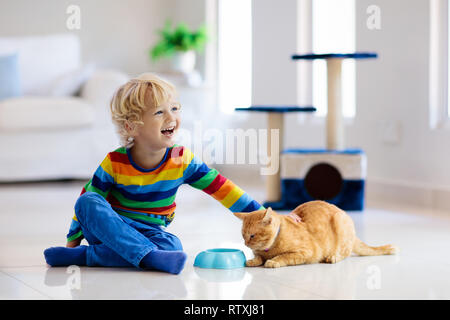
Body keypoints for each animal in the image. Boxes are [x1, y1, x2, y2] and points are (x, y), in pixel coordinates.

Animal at [234, 201, 400, 268]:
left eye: (252, 236)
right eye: (243, 235)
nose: (246, 244)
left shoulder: (305, 251)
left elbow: (284, 256)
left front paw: (273, 261)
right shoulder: (259, 253)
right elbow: (258, 257)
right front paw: (253, 260)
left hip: (340, 222)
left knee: (345, 253)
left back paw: (333, 257)